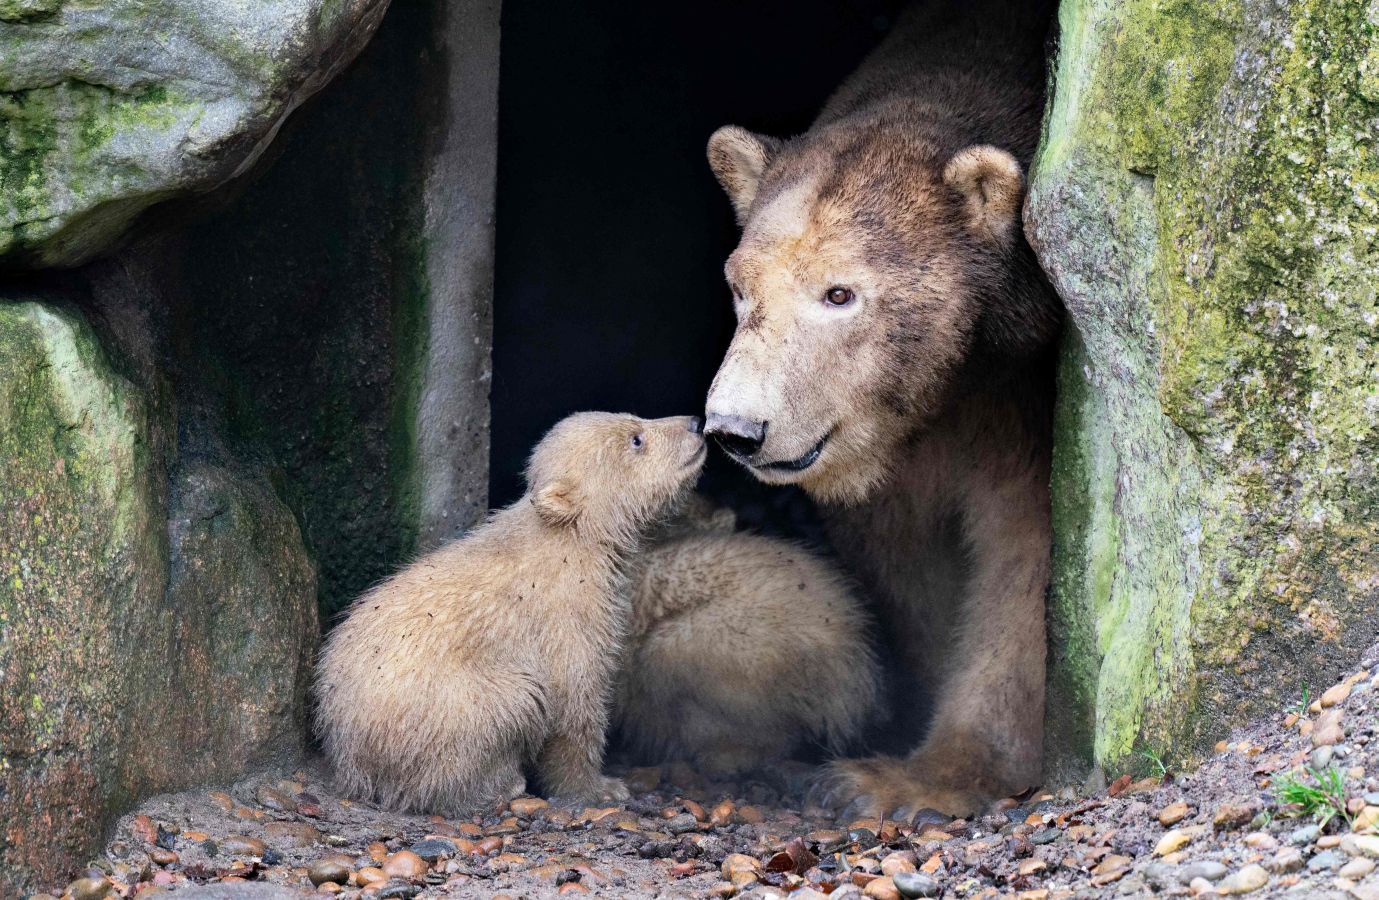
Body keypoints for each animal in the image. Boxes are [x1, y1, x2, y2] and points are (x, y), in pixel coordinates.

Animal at [706, 0, 1059, 815]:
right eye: (740, 287)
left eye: (840, 293)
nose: (737, 429)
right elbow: (907, 564)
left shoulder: (1021, 400)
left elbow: (1021, 557)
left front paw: (919, 780)